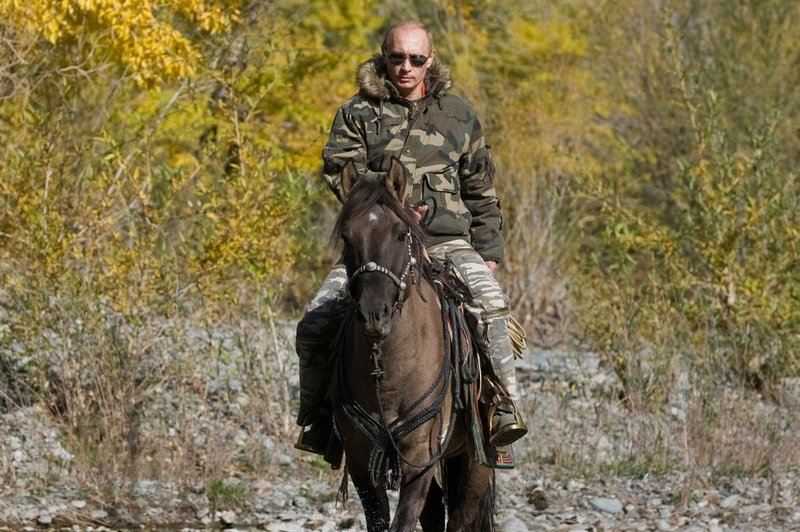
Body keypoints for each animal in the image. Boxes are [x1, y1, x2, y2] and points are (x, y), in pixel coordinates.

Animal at [330, 158, 494, 532]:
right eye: (347, 236)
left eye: (401, 233)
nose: (374, 315)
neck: (388, 373)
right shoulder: (362, 461)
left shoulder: (420, 456)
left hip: (476, 460)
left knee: (462, 515)